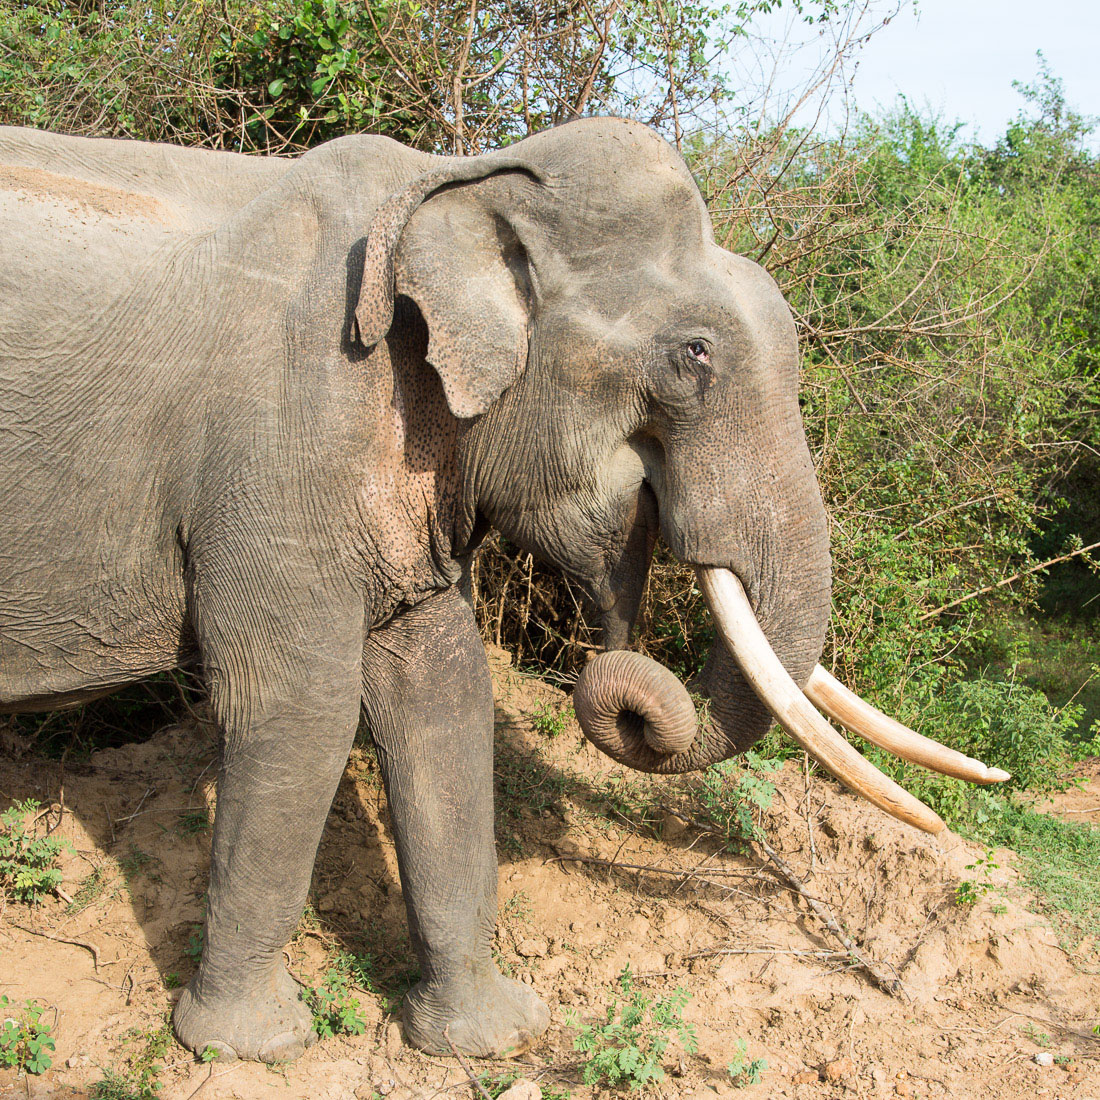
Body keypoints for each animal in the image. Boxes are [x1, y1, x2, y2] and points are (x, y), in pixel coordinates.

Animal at [0, 118, 1007, 1064]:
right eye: (694, 356)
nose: (622, 680)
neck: (454, 177)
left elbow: (442, 687)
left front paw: (491, 1040)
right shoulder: (280, 445)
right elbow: (300, 706)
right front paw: (247, 1047)